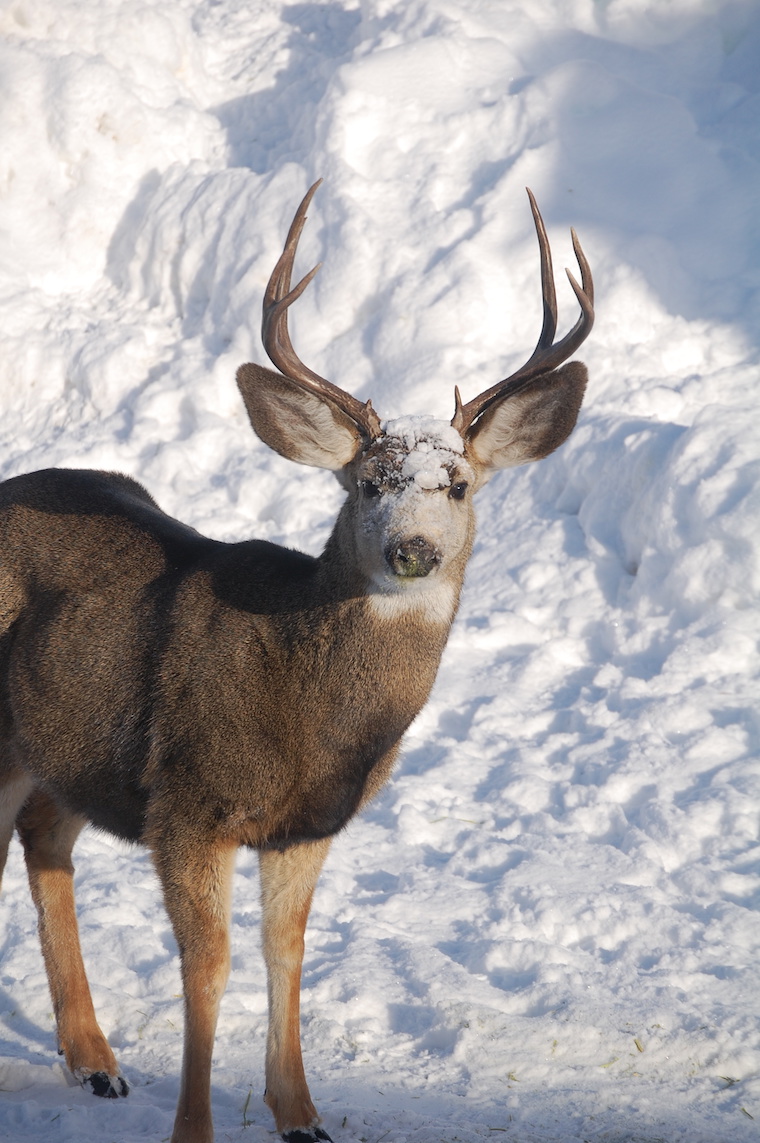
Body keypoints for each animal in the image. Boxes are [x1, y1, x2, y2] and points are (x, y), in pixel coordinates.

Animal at [0, 180, 593, 1143]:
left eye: (458, 484)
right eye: (367, 483)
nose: (413, 550)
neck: (308, 714)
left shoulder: (310, 823)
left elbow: (288, 950)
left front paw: (301, 1112)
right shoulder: (190, 800)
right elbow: (208, 966)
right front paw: (195, 1126)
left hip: (68, 749)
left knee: (46, 837)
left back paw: (94, 1060)